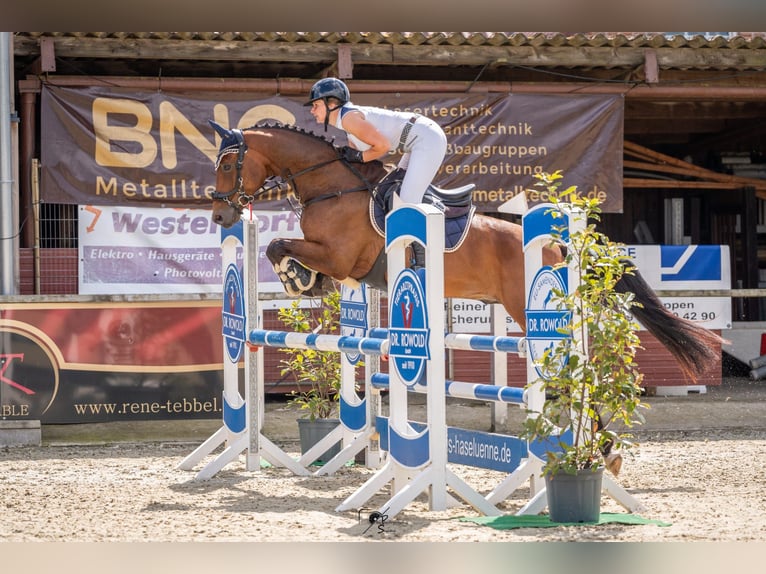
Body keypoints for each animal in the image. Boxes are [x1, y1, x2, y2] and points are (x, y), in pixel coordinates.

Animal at [208, 123, 728, 392]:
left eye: (229, 163)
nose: (219, 214)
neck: (332, 186)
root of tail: (558, 242)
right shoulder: (343, 268)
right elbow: (284, 249)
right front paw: (305, 281)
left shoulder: (339, 257)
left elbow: (279, 246)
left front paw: (295, 278)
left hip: (529, 305)